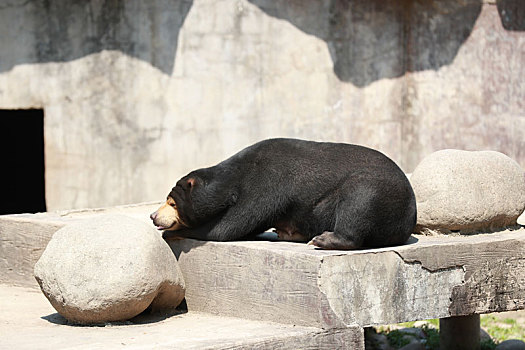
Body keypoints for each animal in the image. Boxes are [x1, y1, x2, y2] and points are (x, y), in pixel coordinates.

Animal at [149, 138, 416, 250]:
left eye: (171, 203)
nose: (152, 216)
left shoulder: (266, 182)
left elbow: (229, 226)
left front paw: (174, 232)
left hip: (378, 190)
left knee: (358, 202)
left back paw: (322, 239)